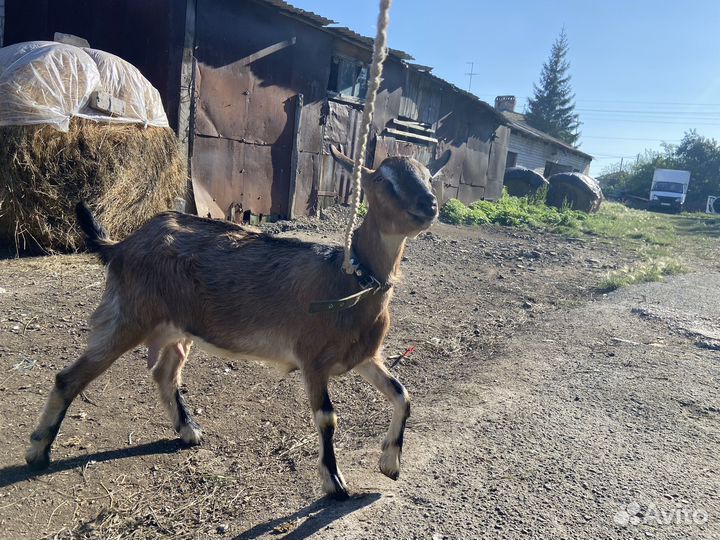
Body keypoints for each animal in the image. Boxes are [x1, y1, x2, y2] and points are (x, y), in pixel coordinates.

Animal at [25, 145, 450, 499]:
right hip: (128, 316)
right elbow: (327, 418)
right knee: (69, 377)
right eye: (381, 180)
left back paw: (188, 431)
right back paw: (38, 450)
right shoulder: (312, 359)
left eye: (429, 176)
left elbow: (403, 394)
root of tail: (122, 245)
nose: (428, 205)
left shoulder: (364, 355)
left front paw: (390, 462)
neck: (347, 279)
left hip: (177, 329)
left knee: (164, 373)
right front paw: (334, 482)